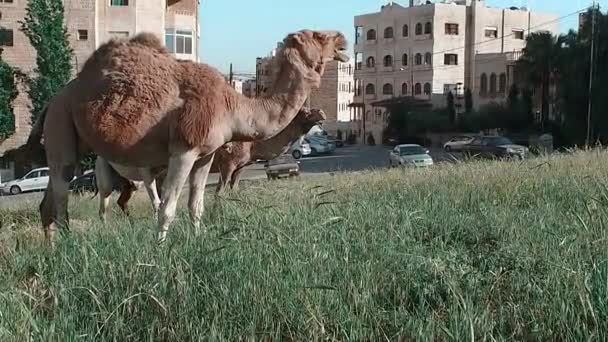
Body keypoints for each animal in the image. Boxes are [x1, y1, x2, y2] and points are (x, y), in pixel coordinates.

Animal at [94, 107, 328, 222]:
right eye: (306, 112)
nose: (323, 115)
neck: (253, 144)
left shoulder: (240, 167)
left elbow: (234, 190)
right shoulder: (228, 164)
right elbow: (220, 193)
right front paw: (217, 216)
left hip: (130, 179)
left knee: (124, 199)